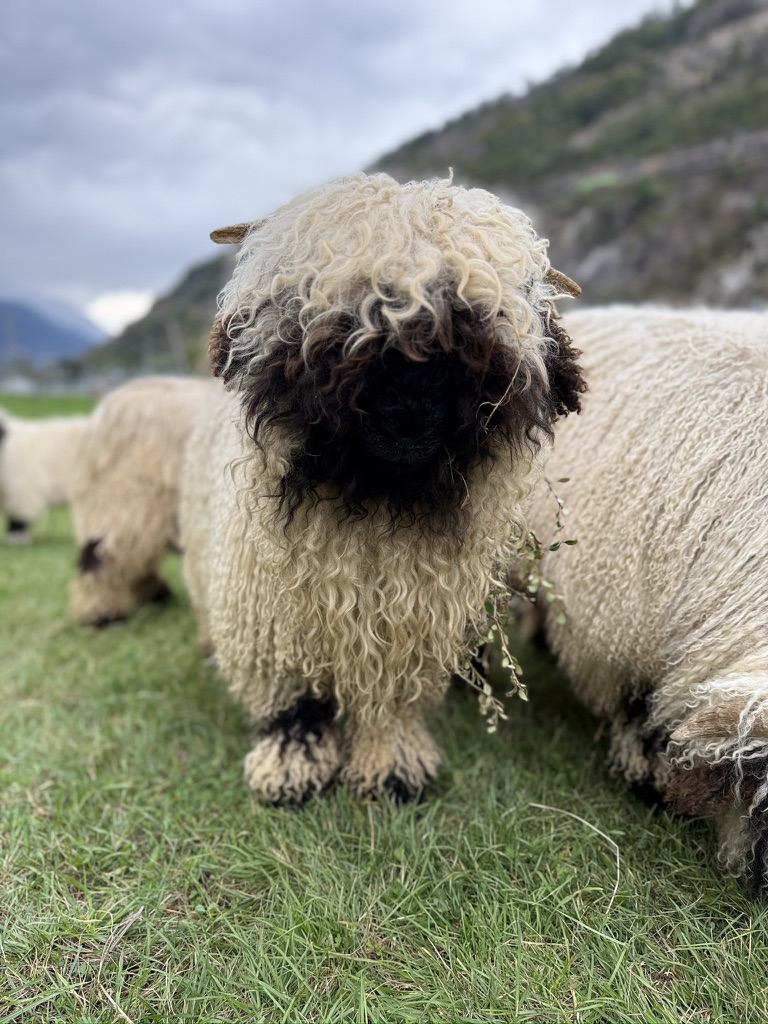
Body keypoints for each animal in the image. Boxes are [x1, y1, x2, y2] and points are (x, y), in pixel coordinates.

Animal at [180, 171, 585, 804]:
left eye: (490, 316)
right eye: (321, 308)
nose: (408, 411)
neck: (376, 504)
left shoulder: (415, 622)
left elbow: (391, 703)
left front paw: (392, 767)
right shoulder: (270, 620)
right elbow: (292, 702)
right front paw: (290, 762)